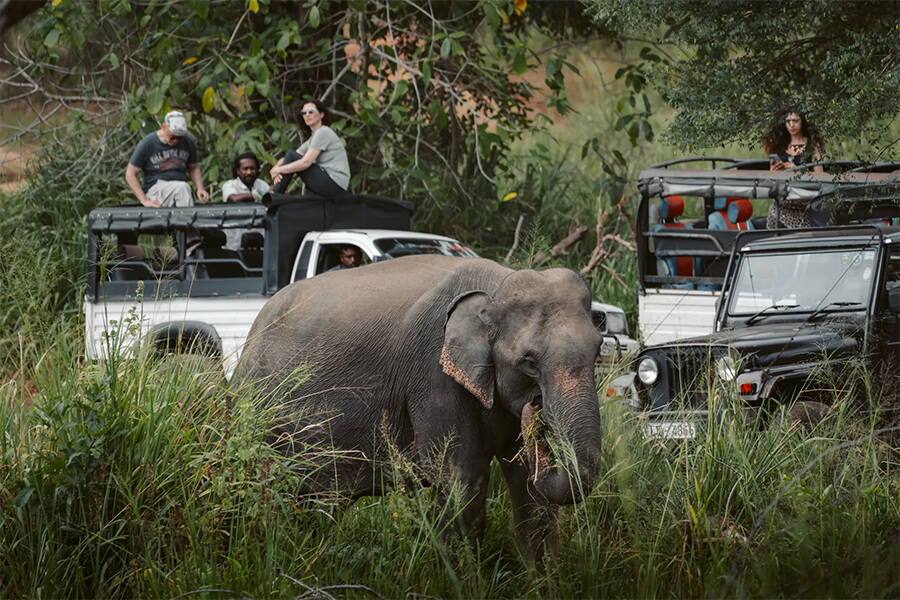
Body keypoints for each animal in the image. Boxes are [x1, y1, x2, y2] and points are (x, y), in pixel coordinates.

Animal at [238, 255, 603, 559]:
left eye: (599, 349)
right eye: (528, 362)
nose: (536, 408)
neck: (497, 284)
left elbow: (528, 484)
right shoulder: (432, 374)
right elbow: (462, 476)